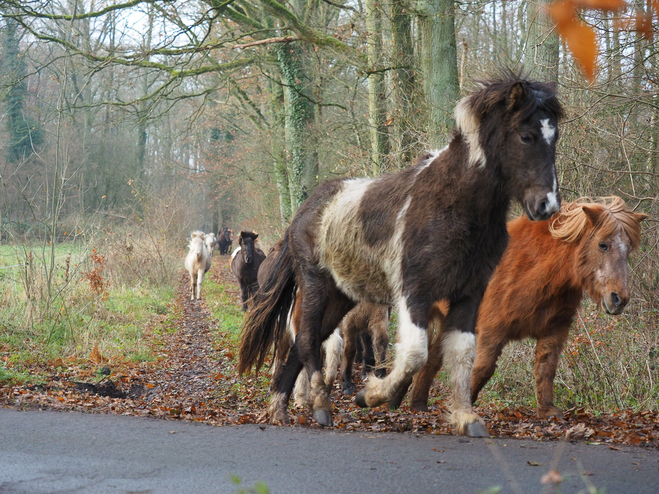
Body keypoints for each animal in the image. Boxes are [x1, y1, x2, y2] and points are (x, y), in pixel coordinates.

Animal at [240, 76, 564, 436]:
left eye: (555, 137)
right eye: (526, 135)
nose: (547, 205)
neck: (454, 203)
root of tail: (302, 213)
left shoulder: (469, 294)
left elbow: (462, 353)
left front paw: (466, 417)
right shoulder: (415, 291)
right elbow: (414, 354)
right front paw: (370, 395)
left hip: (341, 296)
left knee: (304, 344)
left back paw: (279, 408)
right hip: (315, 285)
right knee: (309, 340)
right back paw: (321, 405)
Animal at [410, 197, 648, 416]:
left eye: (628, 250)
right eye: (602, 245)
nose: (619, 299)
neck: (536, 271)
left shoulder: (554, 331)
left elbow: (546, 369)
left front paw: (547, 410)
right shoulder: (491, 330)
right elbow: (482, 369)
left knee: (431, 361)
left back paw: (418, 405)